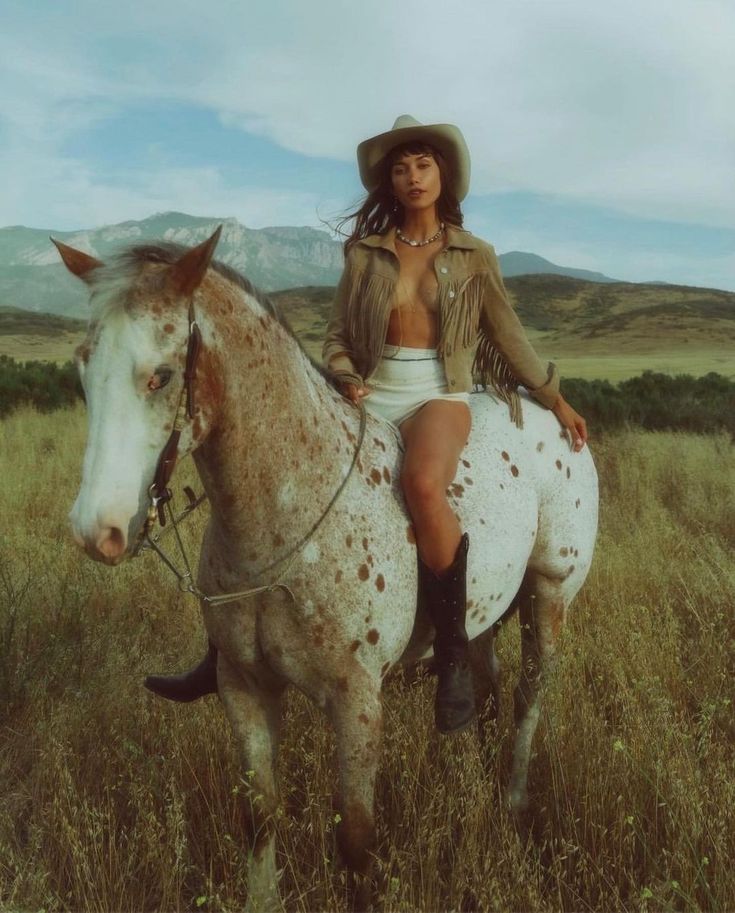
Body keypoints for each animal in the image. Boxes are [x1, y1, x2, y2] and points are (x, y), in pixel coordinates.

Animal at [56, 228, 600, 912]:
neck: (286, 513)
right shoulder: (244, 686)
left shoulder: (357, 701)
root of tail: (549, 412)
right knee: (484, 688)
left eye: (160, 375)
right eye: (83, 367)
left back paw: (513, 799)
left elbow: (356, 839)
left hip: (549, 596)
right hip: (483, 618)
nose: (96, 531)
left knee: (530, 696)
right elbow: (259, 815)